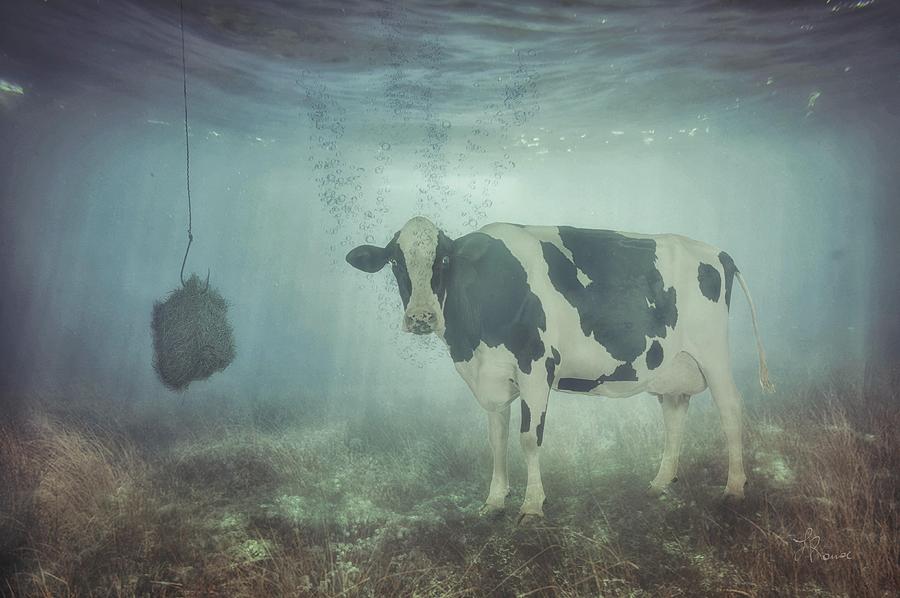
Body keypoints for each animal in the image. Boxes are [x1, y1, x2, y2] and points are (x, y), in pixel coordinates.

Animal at [346, 216, 774, 523]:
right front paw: (494, 502)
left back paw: (734, 488)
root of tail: (717, 252)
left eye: (444, 260)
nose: (421, 317)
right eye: (395, 261)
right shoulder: (492, 378)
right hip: (672, 366)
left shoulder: (536, 367)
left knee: (731, 411)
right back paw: (658, 484)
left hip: (713, 354)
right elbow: (496, 441)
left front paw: (532, 505)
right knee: (675, 415)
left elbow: (528, 439)